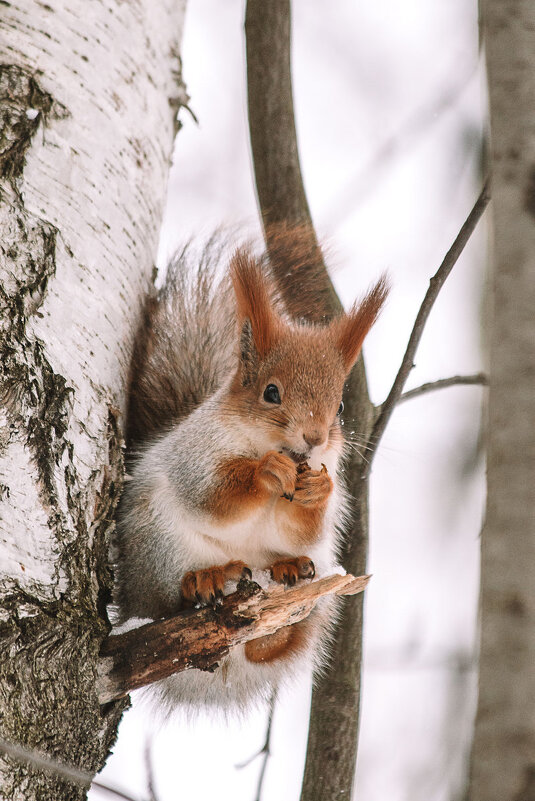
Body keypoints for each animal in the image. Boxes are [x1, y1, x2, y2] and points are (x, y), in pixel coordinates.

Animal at [115, 231, 388, 712]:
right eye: (271, 392)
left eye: (339, 406)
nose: (315, 437)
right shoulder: (195, 455)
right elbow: (213, 496)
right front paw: (266, 471)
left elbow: (307, 527)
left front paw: (318, 488)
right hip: (158, 545)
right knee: (168, 603)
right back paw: (207, 578)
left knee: (274, 639)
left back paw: (284, 589)